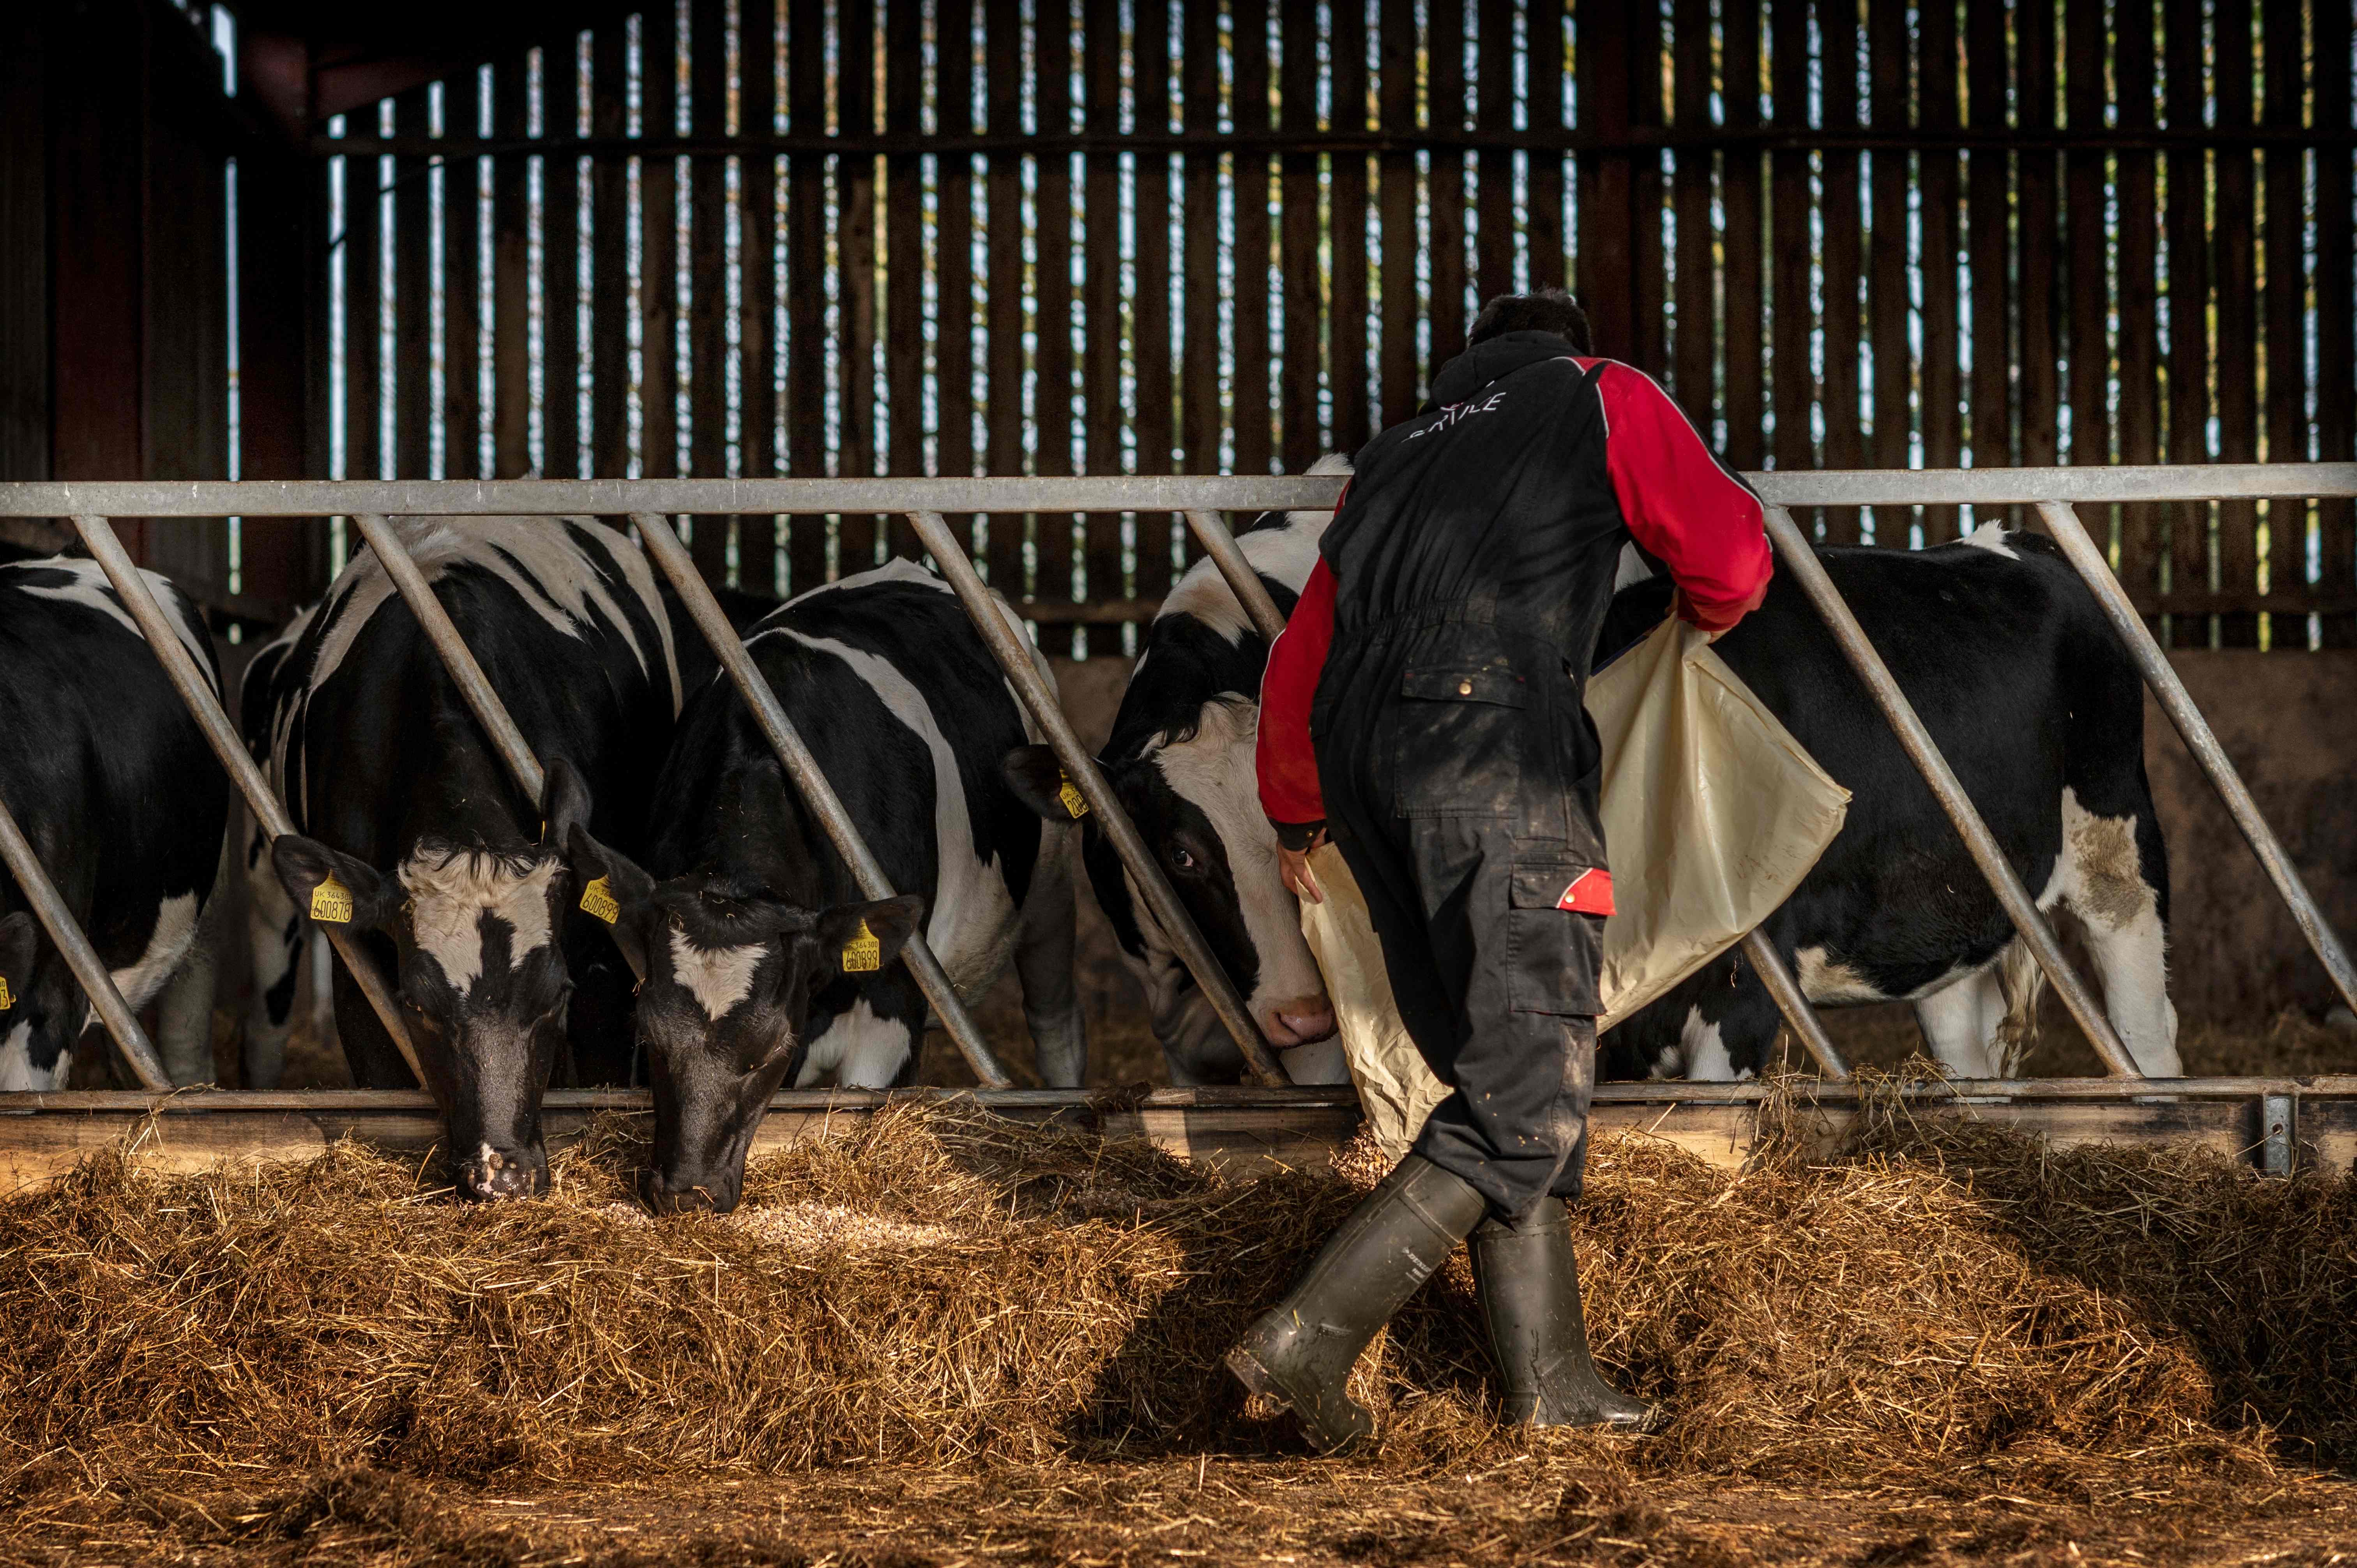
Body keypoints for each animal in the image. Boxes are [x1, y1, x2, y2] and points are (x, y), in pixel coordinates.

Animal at [570, 559, 1084, 1207]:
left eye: (771, 1050)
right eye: (651, 1037)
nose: (687, 1192)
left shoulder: (892, 1011)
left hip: (1052, 884)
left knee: (1055, 1019)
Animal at [1004, 459, 2178, 1084]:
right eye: (1179, 851)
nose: (1295, 1010)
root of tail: (2009, 541)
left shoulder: (1740, 981)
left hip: (2122, 861)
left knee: (2148, 1033)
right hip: (1950, 916)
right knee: (1967, 1043)